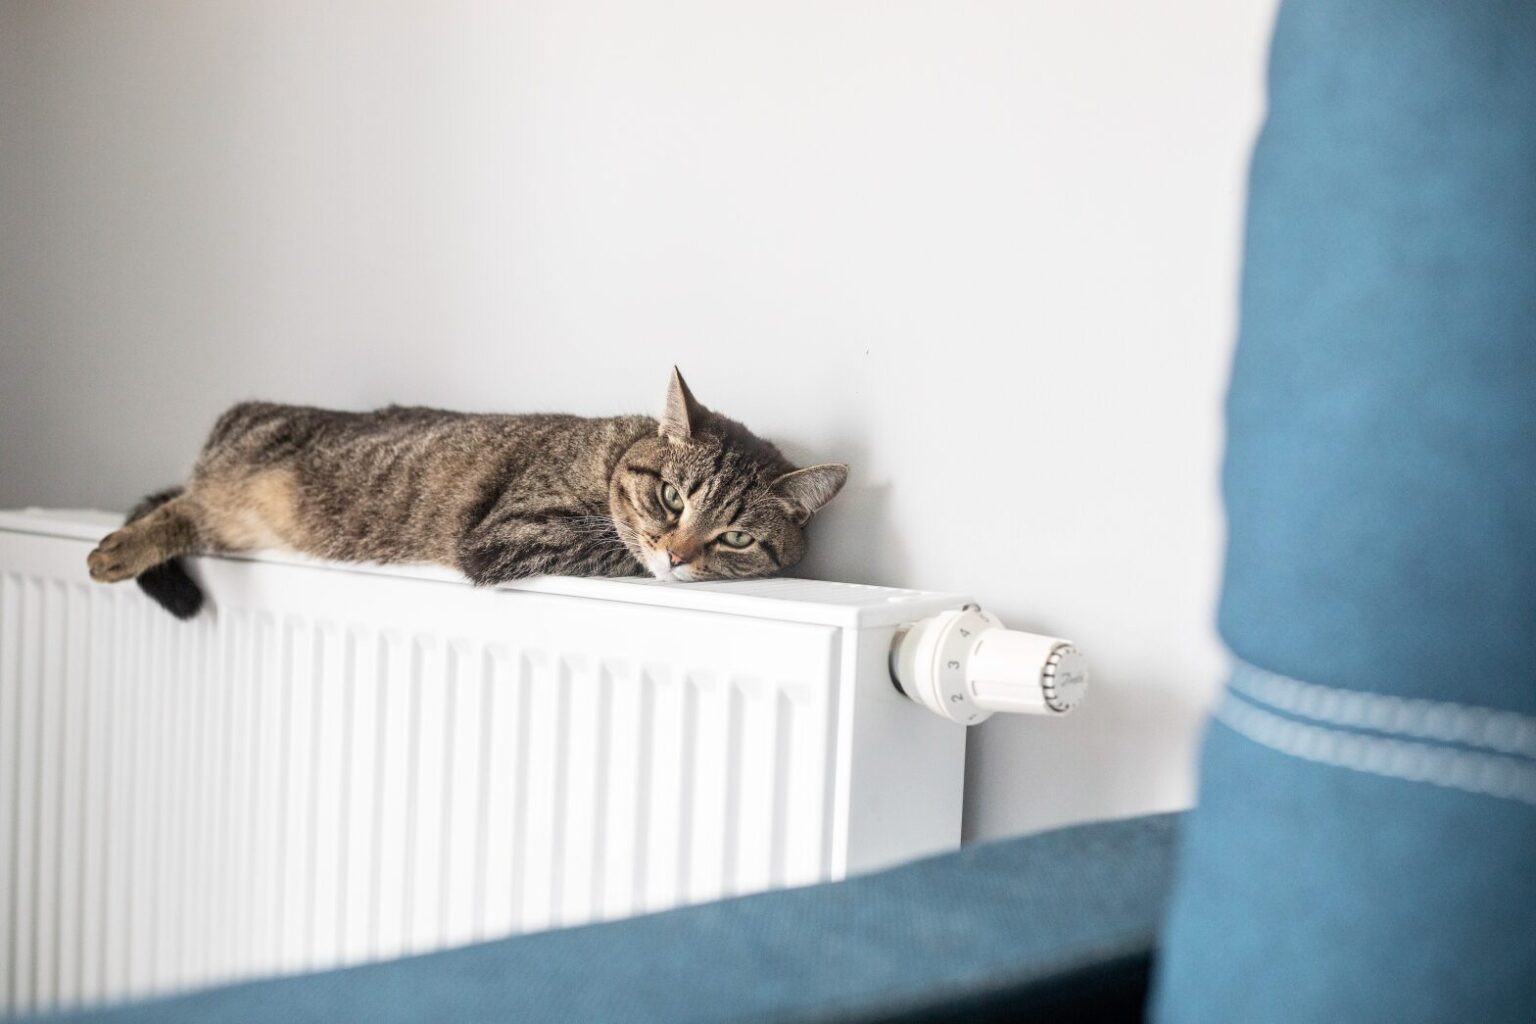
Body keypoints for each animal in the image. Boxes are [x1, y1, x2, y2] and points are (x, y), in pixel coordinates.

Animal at [87, 368, 848, 619]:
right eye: (669, 497)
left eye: (737, 537)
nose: (680, 554)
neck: (608, 453)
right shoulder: (508, 533)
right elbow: (615, 544)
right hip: (233, 471)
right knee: (179, 505)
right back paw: (112, 551)